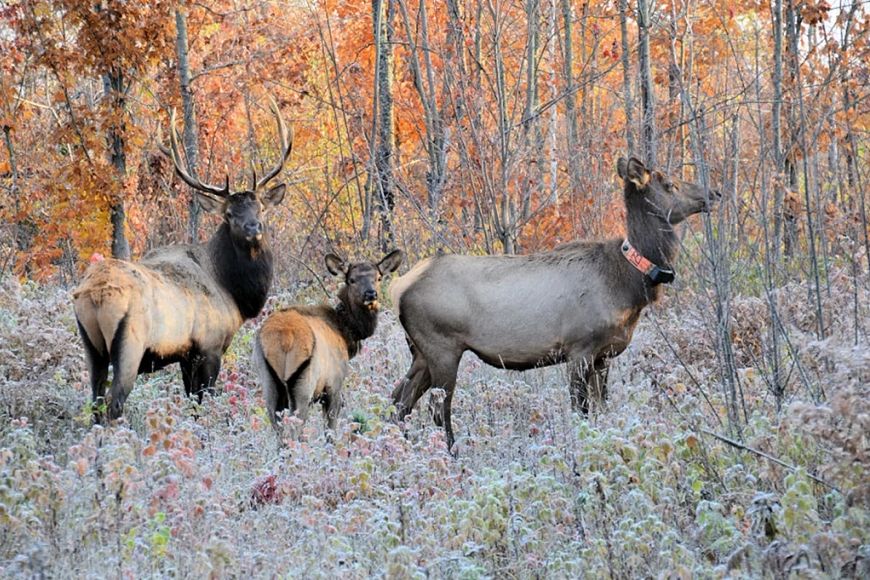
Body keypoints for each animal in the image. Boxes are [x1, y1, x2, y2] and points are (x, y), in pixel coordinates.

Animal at [75, 97, 292, 420]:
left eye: (261, 209)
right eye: (229, 214)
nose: (254, 228)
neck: (233, 294)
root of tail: (94, 294)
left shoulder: (185, 356)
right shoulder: (209, 347)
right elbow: (201, 404)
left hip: (92, 348)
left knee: (95, 402)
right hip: (129, 343)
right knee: (114, 403)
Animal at [250, 249, 404, 436]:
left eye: (379, 277)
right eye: (351, 280)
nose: (370, 294)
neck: (346, 332)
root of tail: (284, 339)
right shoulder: (334, 386)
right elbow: (330, 429)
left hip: (269, 382)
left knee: (277, 427)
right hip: (304, 385)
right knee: (296, 427)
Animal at [394, 156, 724, 450]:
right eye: (670, 184)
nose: (715, 193)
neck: (628, 284)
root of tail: (399, 288)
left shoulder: (603, 356)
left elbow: (602, 408)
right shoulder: (580, 349)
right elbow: (581, 410)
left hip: (421, 352)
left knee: (399, 399)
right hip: (442, 347)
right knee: (438, 409)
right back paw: (453, 454)